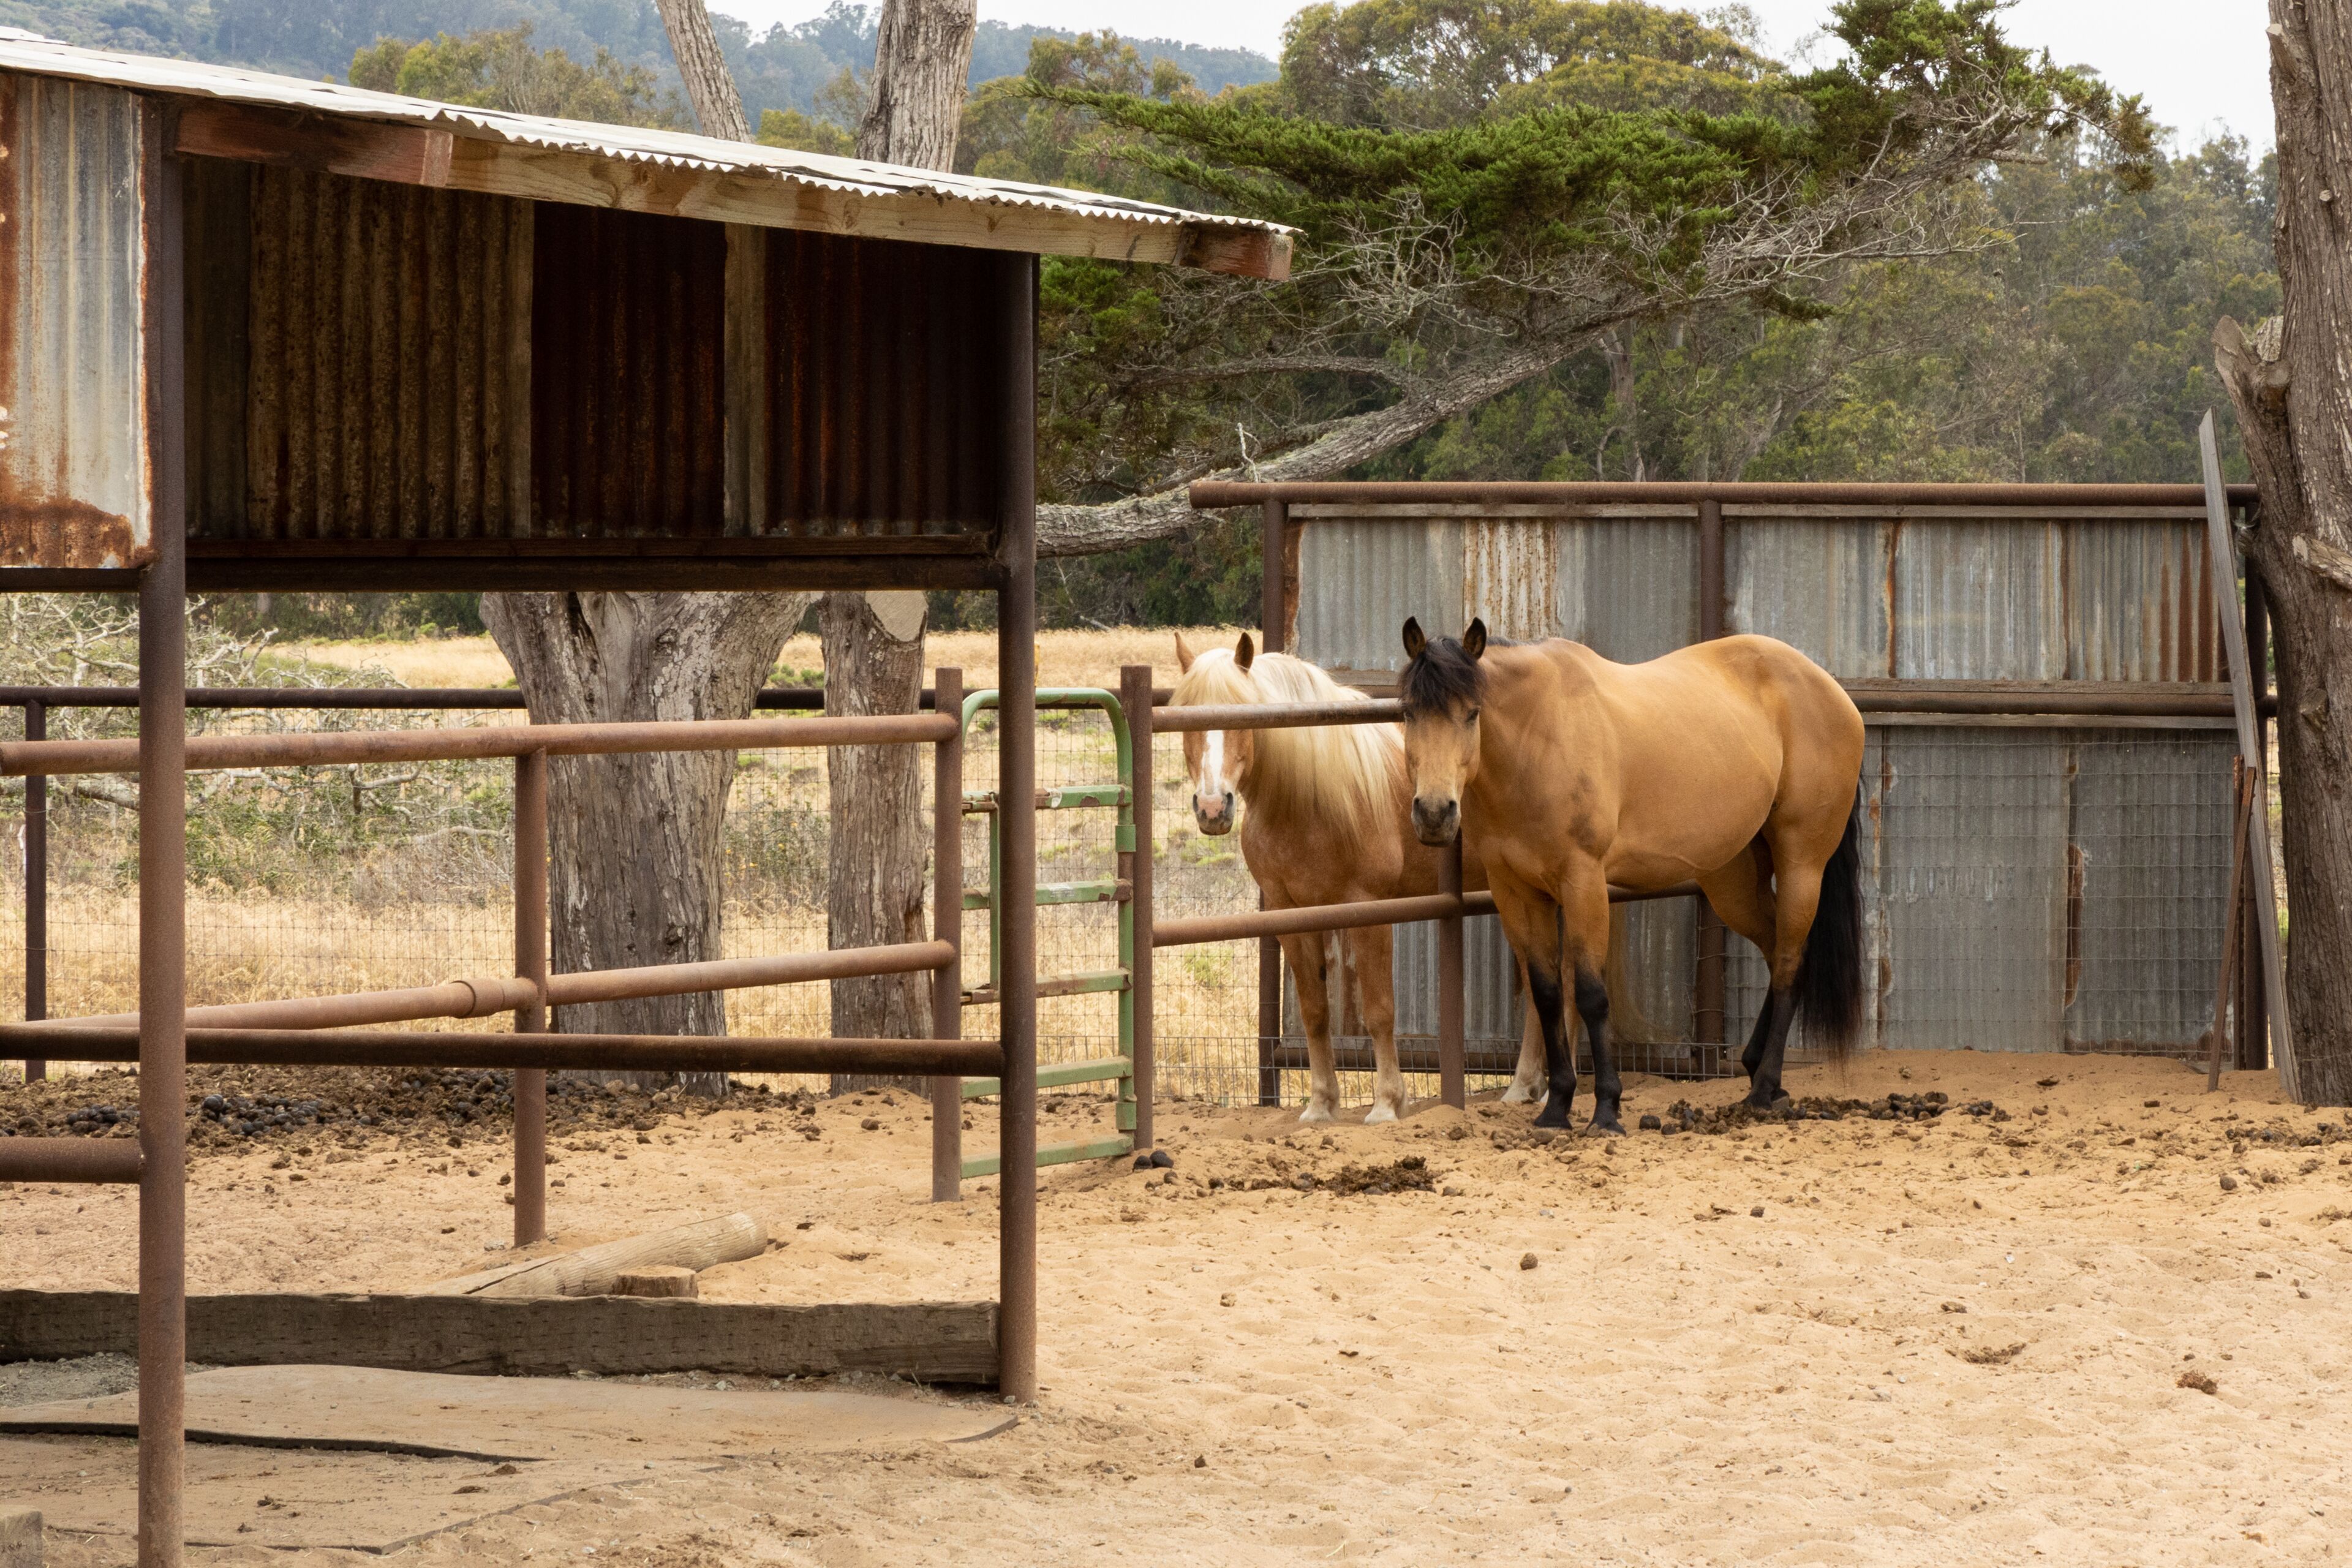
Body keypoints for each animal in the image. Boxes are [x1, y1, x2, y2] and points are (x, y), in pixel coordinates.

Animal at [1172, 632, 1558, 1122]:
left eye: (1243, 713)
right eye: (1187, 716)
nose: (1212, 808)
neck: (1310, 801)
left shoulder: (1369, 910)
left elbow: (1379, 1011)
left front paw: (1387, 1104)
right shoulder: (1290, 913)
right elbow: (1315, 1011)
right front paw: (1321, 1105)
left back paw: (1534, 1089)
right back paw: (1529, 1087)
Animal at [1396, 617, 1865, 1131]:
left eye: (1473, 713)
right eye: (1409, 712)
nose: (1434, 814)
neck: (1539, 739)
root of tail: (1834, 693)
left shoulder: (1584, 882)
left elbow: (1590, 995)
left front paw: (1605, 1109)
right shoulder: (1515, 891)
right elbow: (1547, 995)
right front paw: (1556, 1110)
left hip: (1802, 862)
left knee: (1789, 961)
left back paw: (1763, 1090)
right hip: (1734, 881)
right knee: (1777, 948)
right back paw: (1761, 1071)